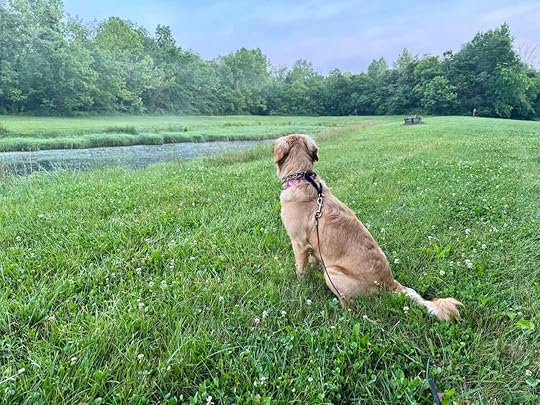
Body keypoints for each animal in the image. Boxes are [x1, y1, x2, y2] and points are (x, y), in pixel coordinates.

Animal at [274, 134, 462, 321]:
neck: (302, 178)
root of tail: (389, 283)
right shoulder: (311, 246)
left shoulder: (299, 242)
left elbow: (300, 269)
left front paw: (299, 284)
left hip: (331, 274)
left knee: (350, 305)